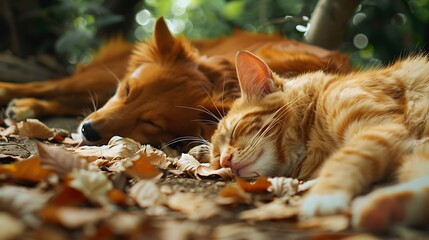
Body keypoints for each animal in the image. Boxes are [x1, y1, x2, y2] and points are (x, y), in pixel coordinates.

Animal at [0, 17, 348, 148]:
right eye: (128, 90)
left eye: (151, 123)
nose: (87, 131)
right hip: (98, 75)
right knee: (54, 85)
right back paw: (14, 93)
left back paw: (27, 106)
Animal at [210, 50, 428, 231]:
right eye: (215, 158)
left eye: (234, 131)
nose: (224, 160)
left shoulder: (381, 129)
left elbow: (345, 158)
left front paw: (324, 196)